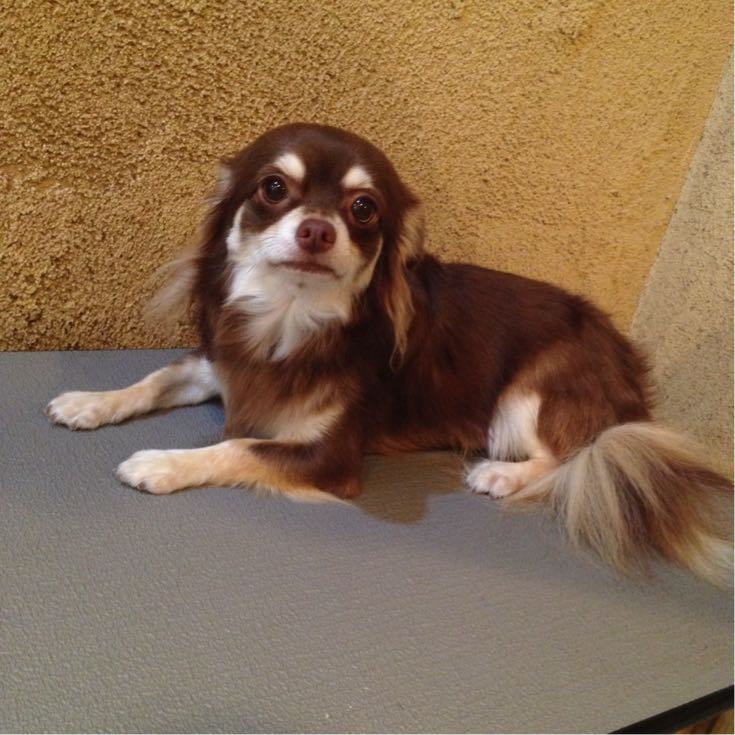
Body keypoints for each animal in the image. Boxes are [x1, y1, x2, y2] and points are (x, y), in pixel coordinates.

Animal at [47, 123, 732, 585]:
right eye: (274, 188)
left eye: (363, 208)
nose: (317, 229)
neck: (291, 317)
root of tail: (627, 366)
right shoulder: (217, 364)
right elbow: (152, 379)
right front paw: (89, 402)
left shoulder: (329, 456)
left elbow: (237, 446)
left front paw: (161, 463)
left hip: (526, 396)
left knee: (577, 453)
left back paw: (501, 473)